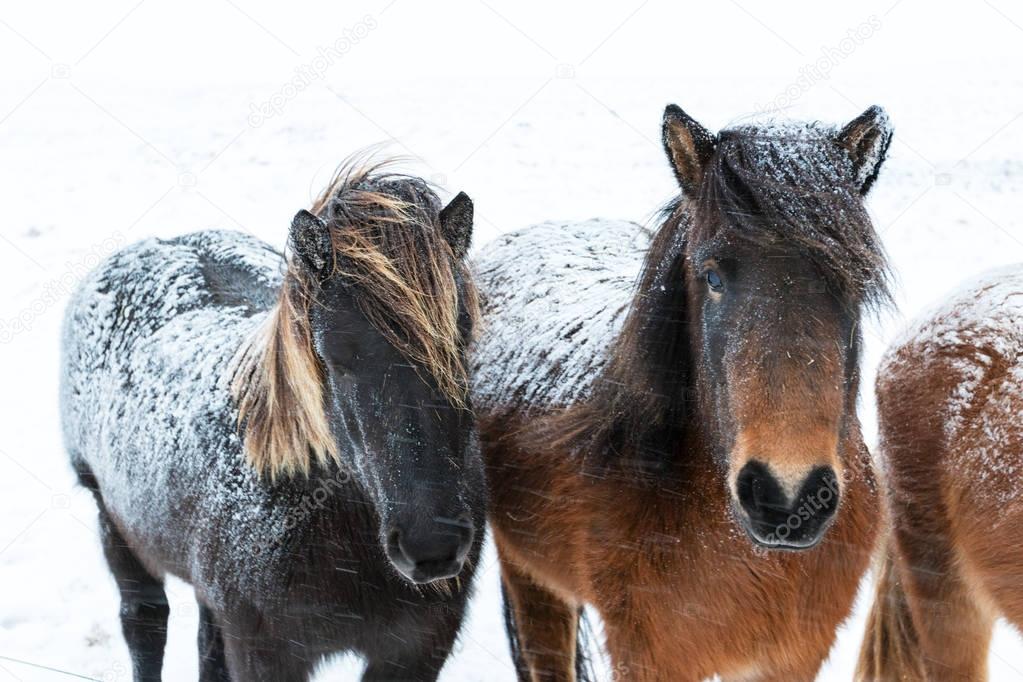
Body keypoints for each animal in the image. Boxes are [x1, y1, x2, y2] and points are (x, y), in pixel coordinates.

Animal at [59, 161, 482, 682]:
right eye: (334, 353)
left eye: (461, 338)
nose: (432, 543)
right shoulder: (266, 653)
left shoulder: (416, 649)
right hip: (116, 527)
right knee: (145, 624)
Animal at [470, 104, 896, 678]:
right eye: (711, 276)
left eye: (851, 281)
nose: (786, 498)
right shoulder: (647, 657)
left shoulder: (794, 658)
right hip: (531, 580)